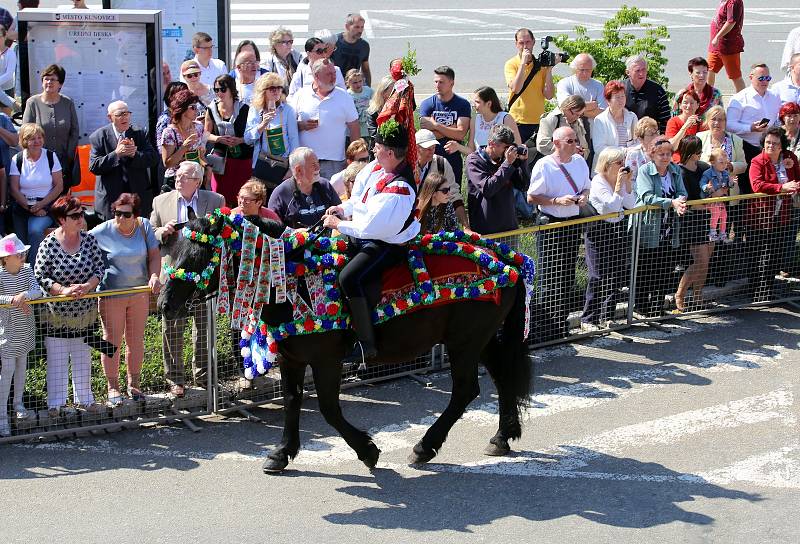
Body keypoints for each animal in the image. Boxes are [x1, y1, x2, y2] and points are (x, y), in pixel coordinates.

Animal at [158, 212, 532, 472]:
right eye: (171, 251)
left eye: (197, 255)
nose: (163, 304)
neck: (295, 281)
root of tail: (505, 260)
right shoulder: (293, 358)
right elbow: (292, 401)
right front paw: (281, 453)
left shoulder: (326, 360)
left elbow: (328, 409)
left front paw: (368, 451)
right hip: (478, 339)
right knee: (502, 377)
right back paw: (501, 437)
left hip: (464, 342)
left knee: (466, 390)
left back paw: (425, 446)